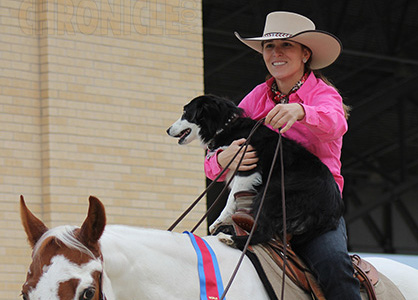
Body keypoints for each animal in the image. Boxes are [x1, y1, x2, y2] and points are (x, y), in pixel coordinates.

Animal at [167, 95, 342, 245]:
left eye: (185, 113)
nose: (167, 130)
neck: (225, 127)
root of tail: (332, 212)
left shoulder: (247, 168)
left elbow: (230, 199)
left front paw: (219, 221)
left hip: (271, 193)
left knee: (265, 233)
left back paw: (230, 238)